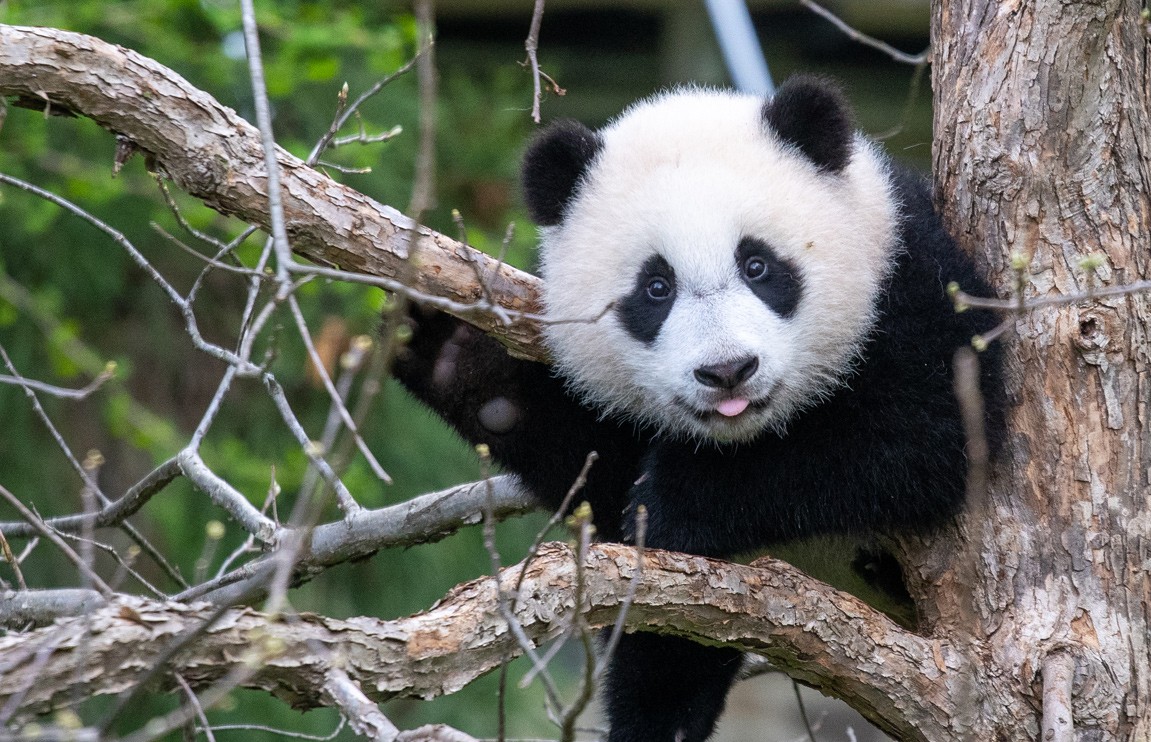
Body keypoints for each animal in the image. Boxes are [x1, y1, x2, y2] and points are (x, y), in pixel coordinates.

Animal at [393, 76, 1004, 742]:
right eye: (656, 288)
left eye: (758, 265)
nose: (728, 370)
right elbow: (590, 466)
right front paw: (450, 349)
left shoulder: (909, 271)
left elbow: (922, 435)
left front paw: (675, 496)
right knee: (669, 645)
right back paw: (657, 722)